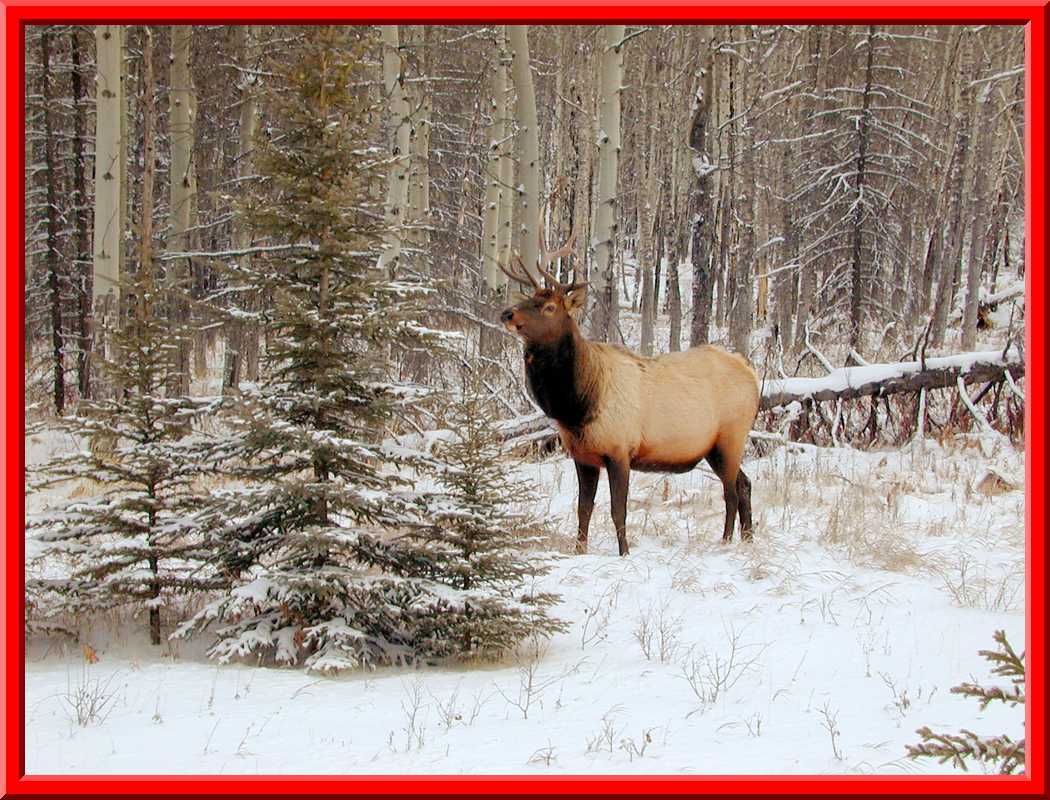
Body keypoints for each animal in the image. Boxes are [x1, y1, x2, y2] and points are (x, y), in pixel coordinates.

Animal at [497, 232, 760, 557]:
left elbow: (617, 510)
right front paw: (578, 551)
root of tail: (752, 373)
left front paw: (624, 553)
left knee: (731, 491)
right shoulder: (583, 455)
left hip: (731, 436)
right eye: (529, 298)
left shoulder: (619, 449)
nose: (507, 313)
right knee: (745, 484)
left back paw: (724, 542)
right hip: (715, 447)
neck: (575, 405)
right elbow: (584, 509)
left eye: (549, 307)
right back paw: (748, 539)